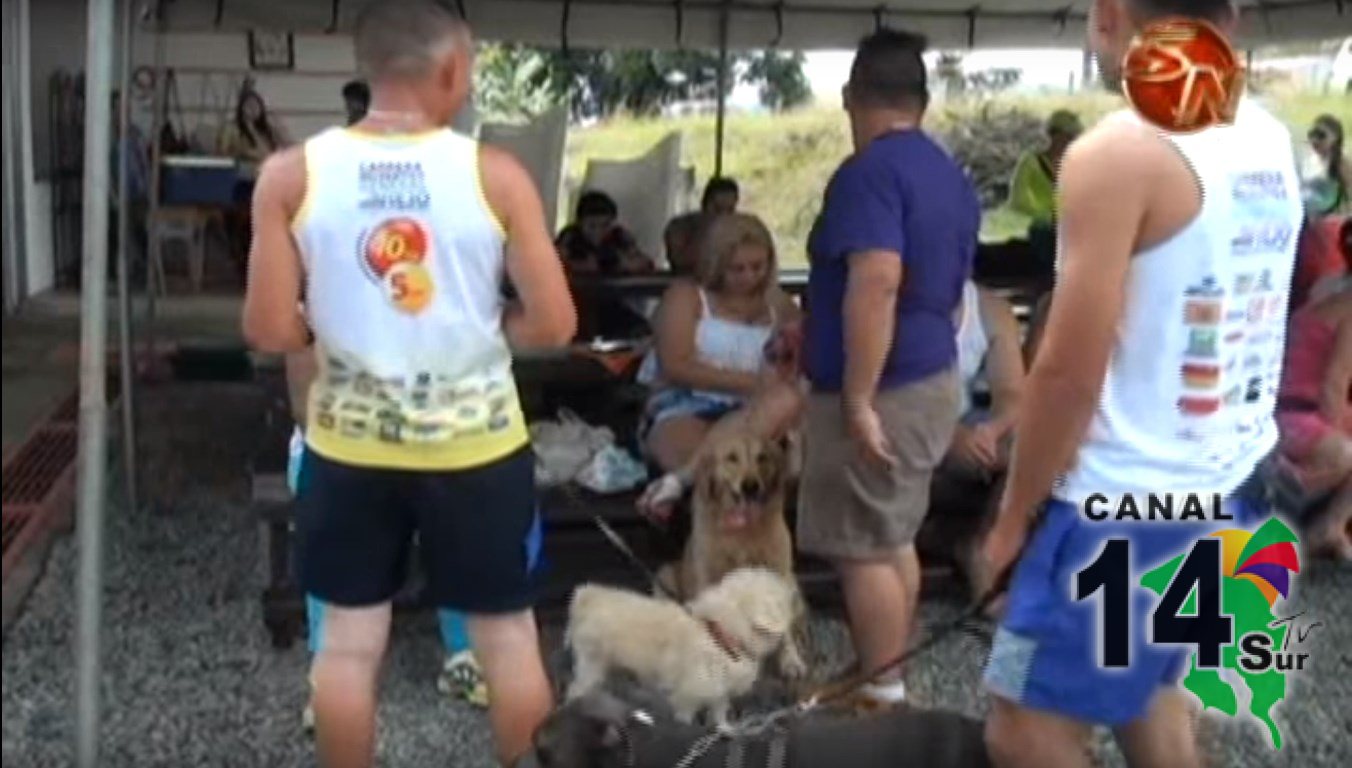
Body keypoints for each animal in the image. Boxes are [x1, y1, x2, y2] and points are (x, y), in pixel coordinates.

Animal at [562, 570, 794, 724]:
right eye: (781, 600)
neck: (721, 634)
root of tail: (590, 596)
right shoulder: (688, 694)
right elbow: (685, 716)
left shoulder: (719, 691)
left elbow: (719, 713)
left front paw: (725, 731)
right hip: (592, 662)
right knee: (577, 688)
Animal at [657, 432, 805, 678]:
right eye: (731, 458)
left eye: (762, 457)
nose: (750, 486)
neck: (743, 529)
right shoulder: (708, 576)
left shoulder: (779, 573)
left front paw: (790, 659)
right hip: (666, 573)